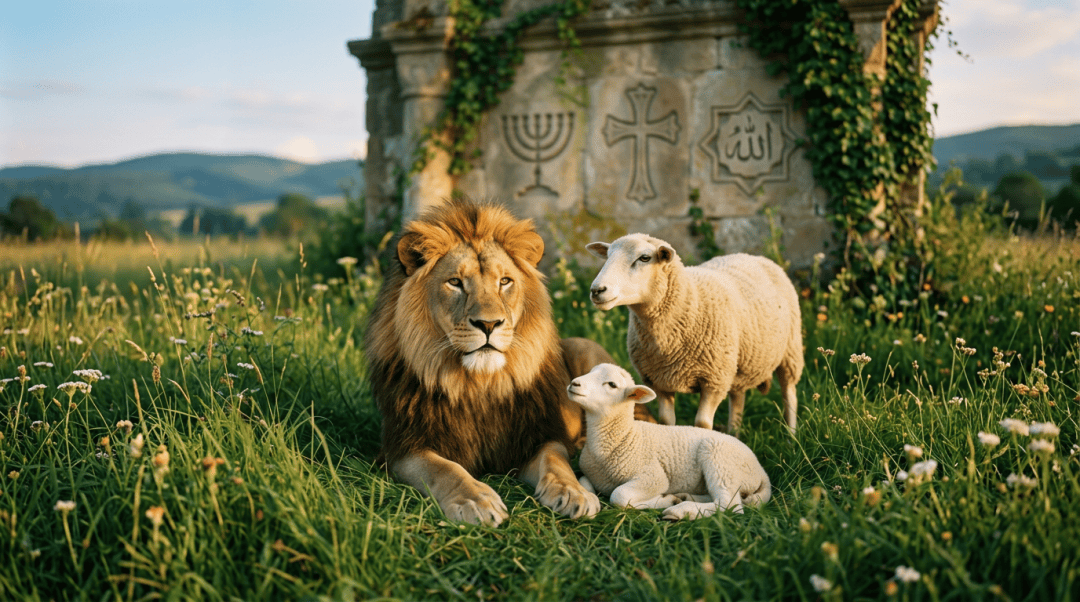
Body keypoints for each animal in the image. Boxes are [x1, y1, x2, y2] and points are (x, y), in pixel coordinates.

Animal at [364, 197, 618, 526]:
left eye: (505, 281)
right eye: (455, 282)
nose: (488, 324)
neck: (478, 385)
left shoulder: (536, 437)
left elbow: (556, 462)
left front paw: (574, 492)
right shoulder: (404, 448)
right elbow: (445, 469)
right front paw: (476, 500)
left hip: (585, 347)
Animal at [567, 363, 771, 519]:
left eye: (612, 384)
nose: (574, 383)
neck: (625, 436)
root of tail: (761, 472)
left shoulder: (653, 477)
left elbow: (619, 496)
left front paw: (661, 500)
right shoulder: (590, 473)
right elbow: (583, 482)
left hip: (721, 461)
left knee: (730, 506)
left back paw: (681, 511)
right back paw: (685, 497)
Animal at [587, 234, 803, 435]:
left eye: (645, 258)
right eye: (607, 255)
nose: (597, 290)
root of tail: (753, 256)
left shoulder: (714, 380)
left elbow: (702, 424)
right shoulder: (658, 381)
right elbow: (666, 422)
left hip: (790, 350)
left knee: (789, 393)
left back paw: (791, 437)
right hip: (736, 364)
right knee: (738, 397)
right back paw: (734, 434)